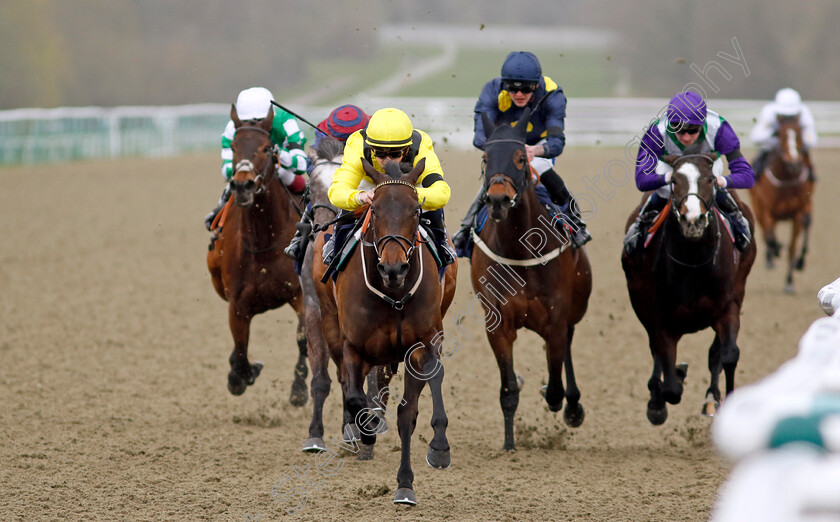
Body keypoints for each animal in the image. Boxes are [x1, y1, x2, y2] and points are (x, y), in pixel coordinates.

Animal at [207, 105, 308, 404]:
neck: (265, 241)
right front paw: (240, 375)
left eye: (265, 148)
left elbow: (303, 338)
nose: (243, 186)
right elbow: (240, 349)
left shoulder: (301, 294)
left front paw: (299, 388)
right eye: (234, 147)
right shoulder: (237, 304)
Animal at [332, 155, 456, 504]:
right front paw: (366, 433)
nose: (393, 268)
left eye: (416, 210)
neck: (394, 297)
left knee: (416, 399)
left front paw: (430, 458)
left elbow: (409, 412)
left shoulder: (423, 344)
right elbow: (355, 398)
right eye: (374, 209)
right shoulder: (353, 347)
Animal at [472, 110, 592, 450]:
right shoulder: (497, 324)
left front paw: (560, 400)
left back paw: (572, 407)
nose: (498, 200)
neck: (520, 250)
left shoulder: (556, 319)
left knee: (566, 354)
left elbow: (554, 387)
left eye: (520, 158)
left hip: (574, 310)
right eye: (486, 158)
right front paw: (509, 444)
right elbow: (509, 389)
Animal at [620, 148, 756, 424]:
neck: (694, 263)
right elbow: (670, 382)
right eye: (674, 181)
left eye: (711, 180)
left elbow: (727, 355)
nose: (693, 220)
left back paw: (710, 400)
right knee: (656, 352)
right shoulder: (661, 318)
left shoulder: (728, 306)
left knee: (714, 353)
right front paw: (661, 398)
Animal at [748, 115, 812, 292]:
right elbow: (770, 237)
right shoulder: (766, 211)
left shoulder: (798, 214)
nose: (794, 163)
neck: (786, 180)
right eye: (781, 136)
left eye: (799, 135)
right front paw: (776, 250)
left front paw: (789, 281)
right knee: (767, 234)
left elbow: (792, 249)